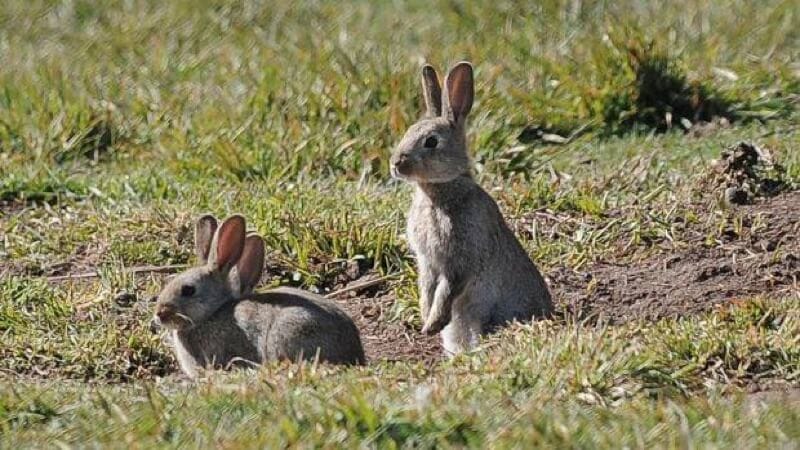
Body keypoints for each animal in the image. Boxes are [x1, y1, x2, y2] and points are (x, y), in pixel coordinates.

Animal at [390, 60, 552, 356]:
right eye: (408, 131)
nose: (396, 163)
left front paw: (432, 324)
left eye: (431, 141)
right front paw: (425, 318)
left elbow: (447, 289)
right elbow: (427, 288)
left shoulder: (459, 259)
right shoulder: (427, 262)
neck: (438, 193)